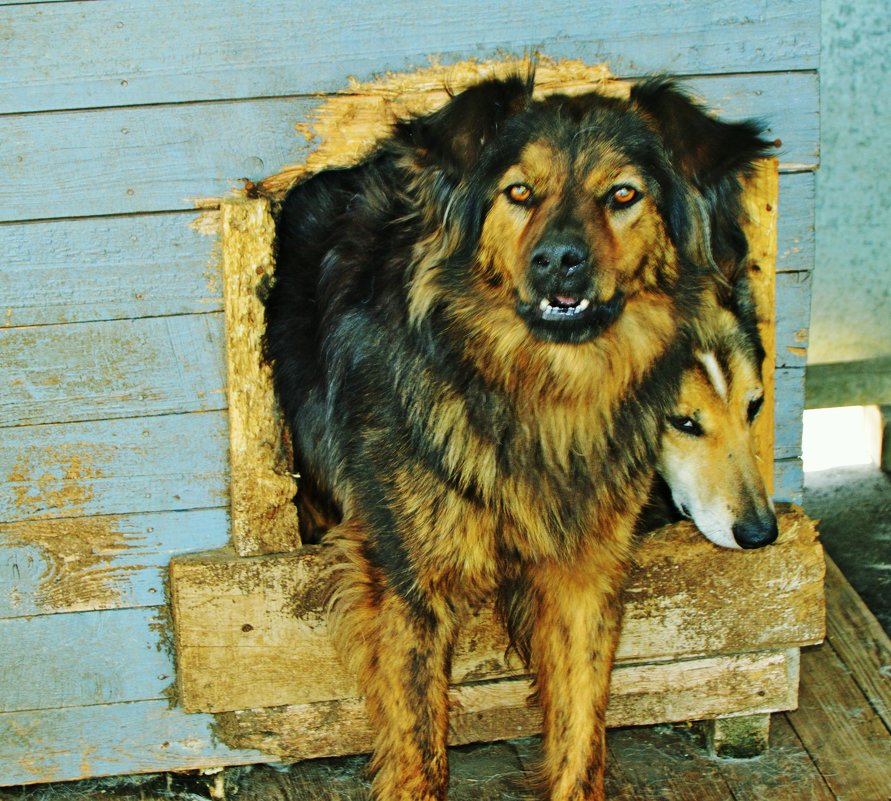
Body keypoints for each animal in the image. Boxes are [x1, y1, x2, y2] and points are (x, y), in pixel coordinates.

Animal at [262, 72, 772, 796]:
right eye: (519, 192)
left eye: (623, 194)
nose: (559, 260)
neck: (540, 391)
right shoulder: (408, 587)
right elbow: (421, 750)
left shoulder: (584, 576)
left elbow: (582, 731)